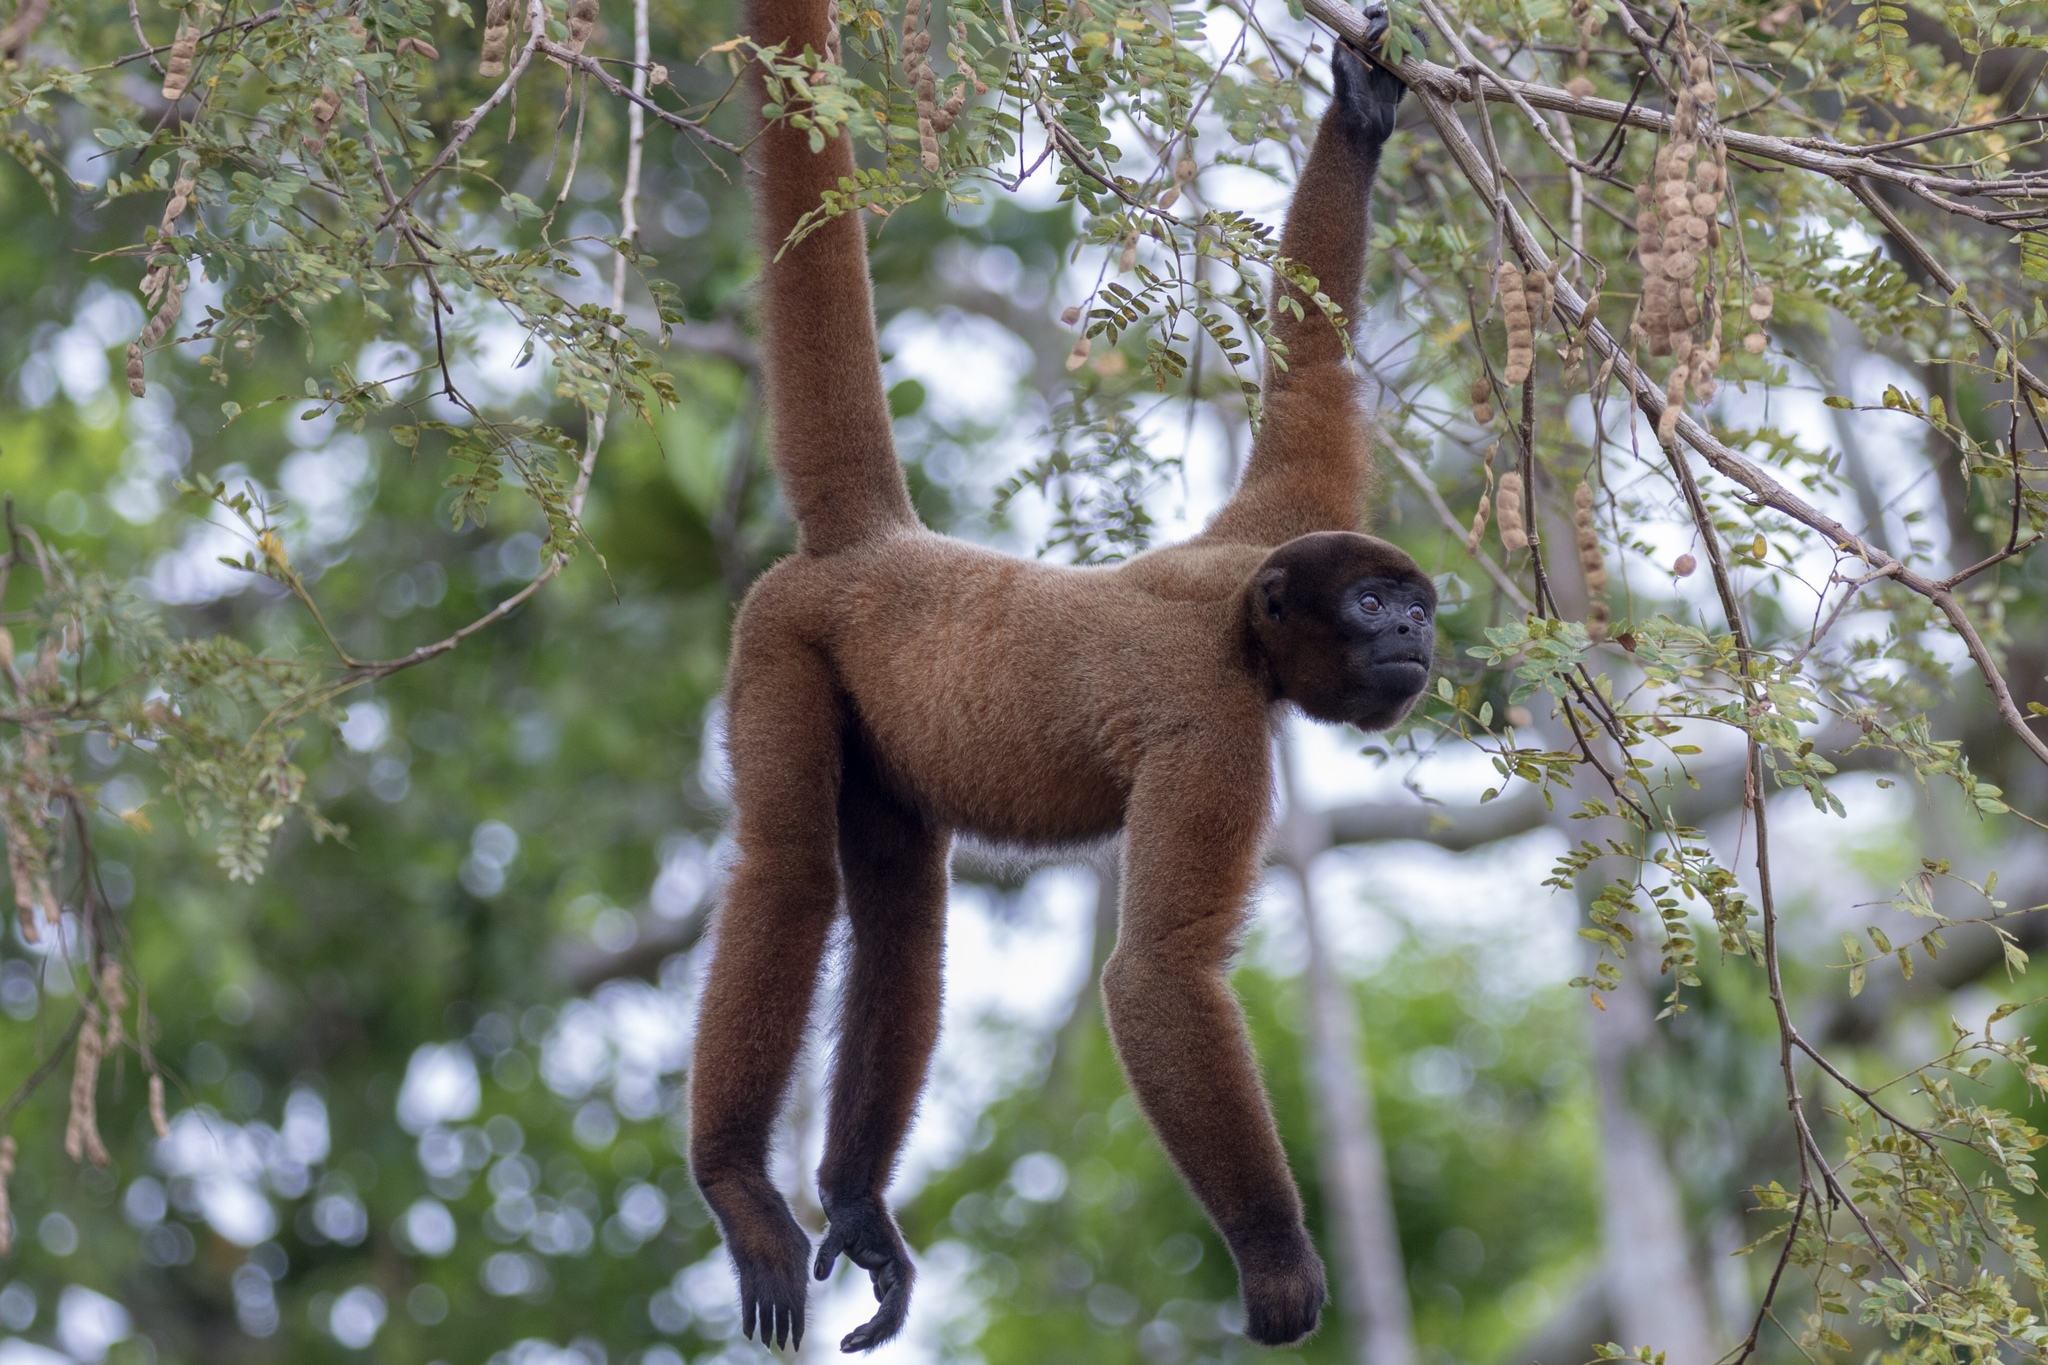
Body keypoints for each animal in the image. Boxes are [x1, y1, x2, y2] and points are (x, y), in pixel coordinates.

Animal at [688, 0, 1425, 1350]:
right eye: (1368, 607)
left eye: (1409, 601)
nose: (1412, 631)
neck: (1237, 618)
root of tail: (876, 548)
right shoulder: (1210, 722)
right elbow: (1157, 975)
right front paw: (1276, 1261)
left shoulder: (1276, 521)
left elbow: (1307, 377)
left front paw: (1356, 112)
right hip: (779, 637)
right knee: (788, 871)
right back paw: (736, 1188)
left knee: (900, 908)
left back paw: (855, 1204)